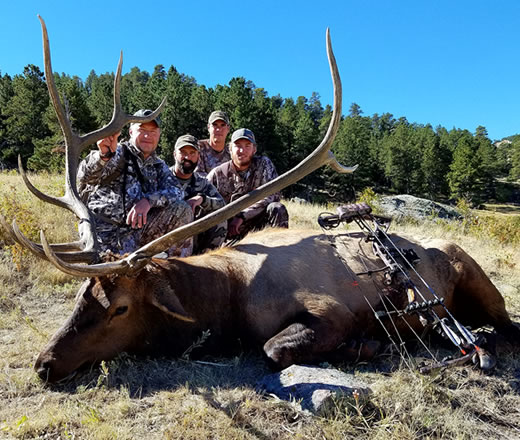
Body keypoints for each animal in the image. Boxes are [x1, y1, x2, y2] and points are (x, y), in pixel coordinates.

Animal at [1, 18, 516, 382]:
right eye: (80, 297)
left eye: (120, 308)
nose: (44, 364)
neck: (231, 300)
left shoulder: (333, 310)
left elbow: (273, 349)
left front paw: (367, 346)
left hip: (474, 274)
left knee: (506, 327)